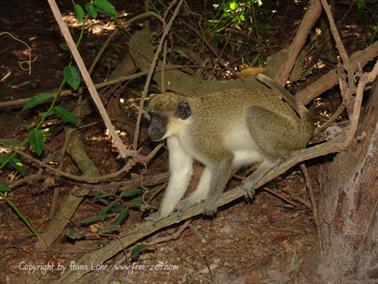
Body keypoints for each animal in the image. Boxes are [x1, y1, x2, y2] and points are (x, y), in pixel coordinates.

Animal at [146, 80, 312, 220]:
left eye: (158, 119)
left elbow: (222, 159)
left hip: (288, 134)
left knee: (253, 114)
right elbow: (182, 172)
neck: (184, 126)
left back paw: (270, 162)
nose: (151, 130)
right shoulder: (173, 138)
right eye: (152, 117)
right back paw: (196, 198)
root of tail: (302, 130)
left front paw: (211, 200)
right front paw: (161, 214)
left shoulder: (198, 135)